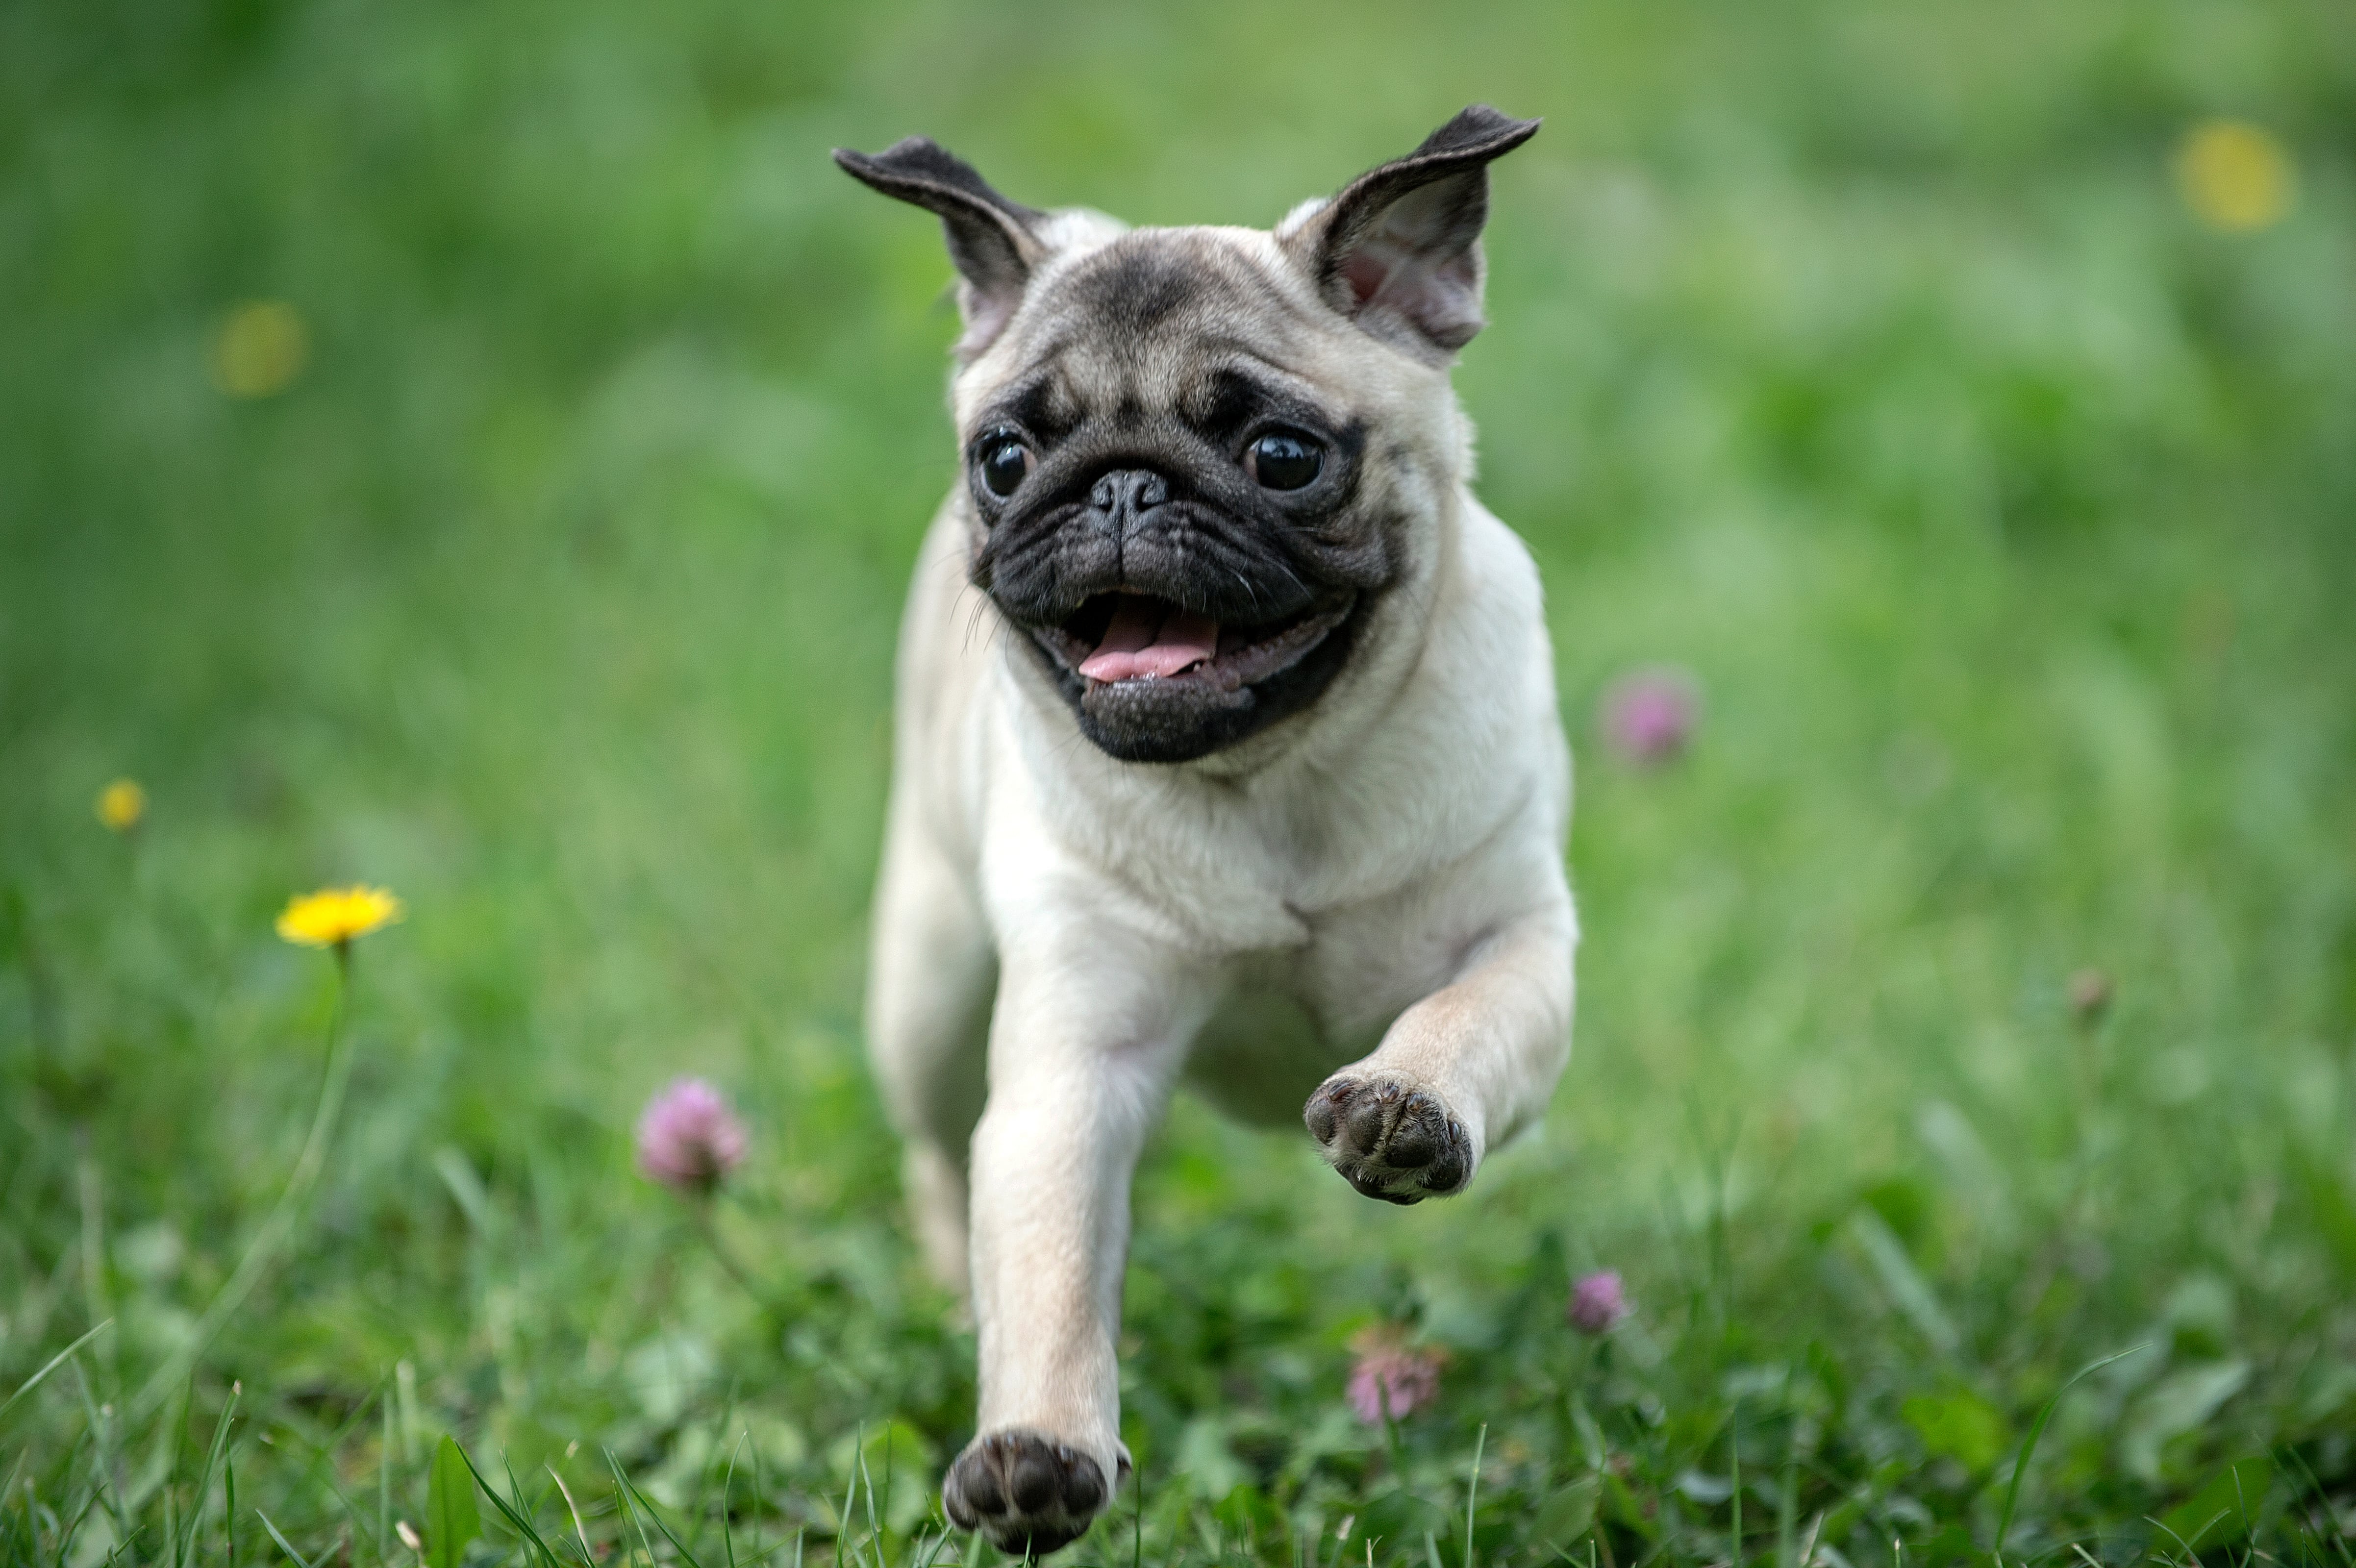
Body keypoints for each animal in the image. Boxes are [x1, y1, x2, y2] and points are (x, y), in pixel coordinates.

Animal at [838, 110, 1574, 1554]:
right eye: (1003, 460)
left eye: (1281, 455)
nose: (1119, 490)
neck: (1274, 780)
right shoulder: (1073, 1069)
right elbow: (1050, 1267)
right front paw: (1037, 1448)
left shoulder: (1521, 936)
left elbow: (1468, 1014)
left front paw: (1405, 1103)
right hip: (928, 991)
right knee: (942, 1160)